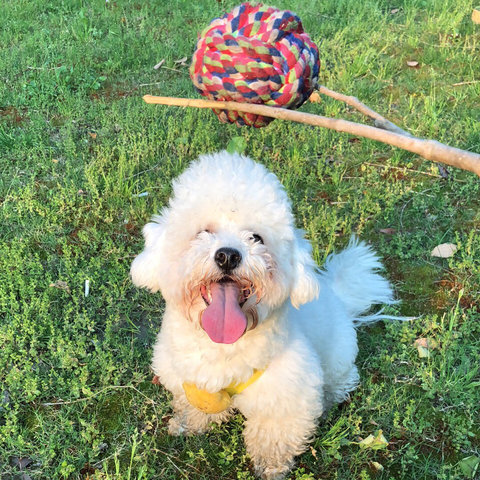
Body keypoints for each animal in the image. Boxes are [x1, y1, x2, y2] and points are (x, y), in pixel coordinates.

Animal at [130, 151, 396, 479]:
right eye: (204, 232)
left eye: (256, 238)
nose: (228, 255)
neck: (222, 347)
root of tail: (337, 294)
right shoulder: (185, 375)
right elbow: (191, 404)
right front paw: (187, 423)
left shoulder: (286, 397)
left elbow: (274, 436)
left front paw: (270, 467)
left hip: (337, 356)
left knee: (342, 378)